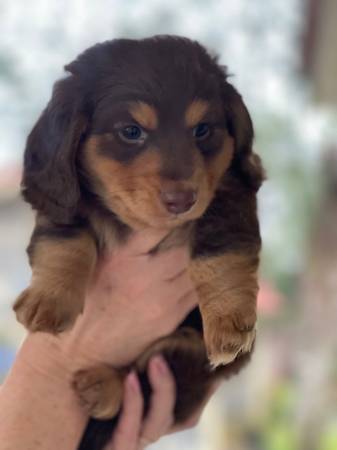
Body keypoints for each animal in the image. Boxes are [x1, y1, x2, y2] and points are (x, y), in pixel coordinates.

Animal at [13, 36, 266, 450]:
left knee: (150, 376)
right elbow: (65, 241)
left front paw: (228, 319)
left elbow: (220, 252)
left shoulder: (227, 196)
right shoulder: (65, 201)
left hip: (188, 361)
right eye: (131, 132)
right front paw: (48, 300)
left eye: (202, 130)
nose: (183, 201)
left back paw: (105, 387)